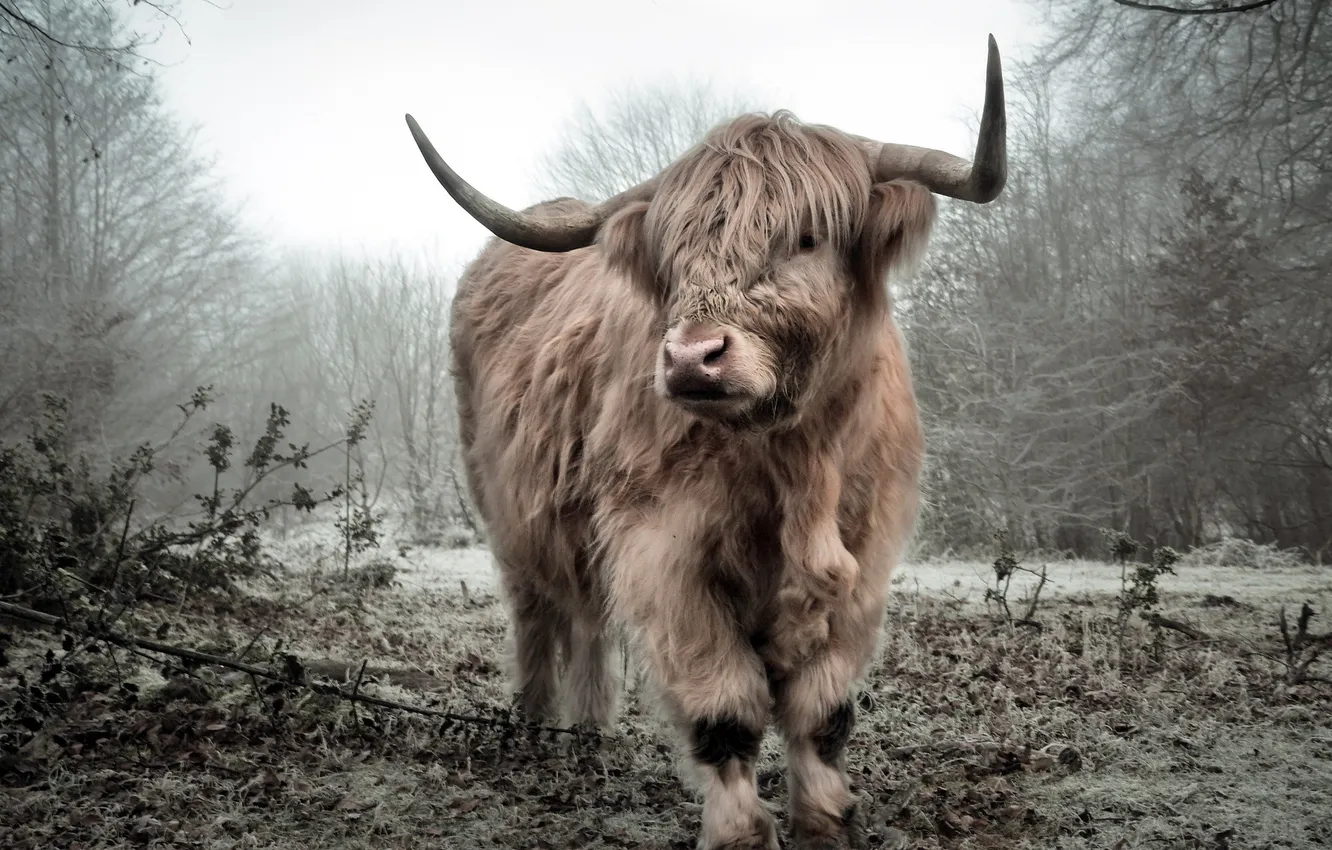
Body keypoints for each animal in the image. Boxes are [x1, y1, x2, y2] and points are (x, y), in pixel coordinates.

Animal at [403, 36, 1006, 850]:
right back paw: (533, 726)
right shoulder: (665, 553)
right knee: (538, 612)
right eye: (675, 253)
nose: (692, 358)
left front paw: (827, 819)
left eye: (806, 237)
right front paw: (740, 832)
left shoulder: (866, 557)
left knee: (588, 619)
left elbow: (823, 712)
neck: (795, 463)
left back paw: (586, 734)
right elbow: (725, 710)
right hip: (508, 510)